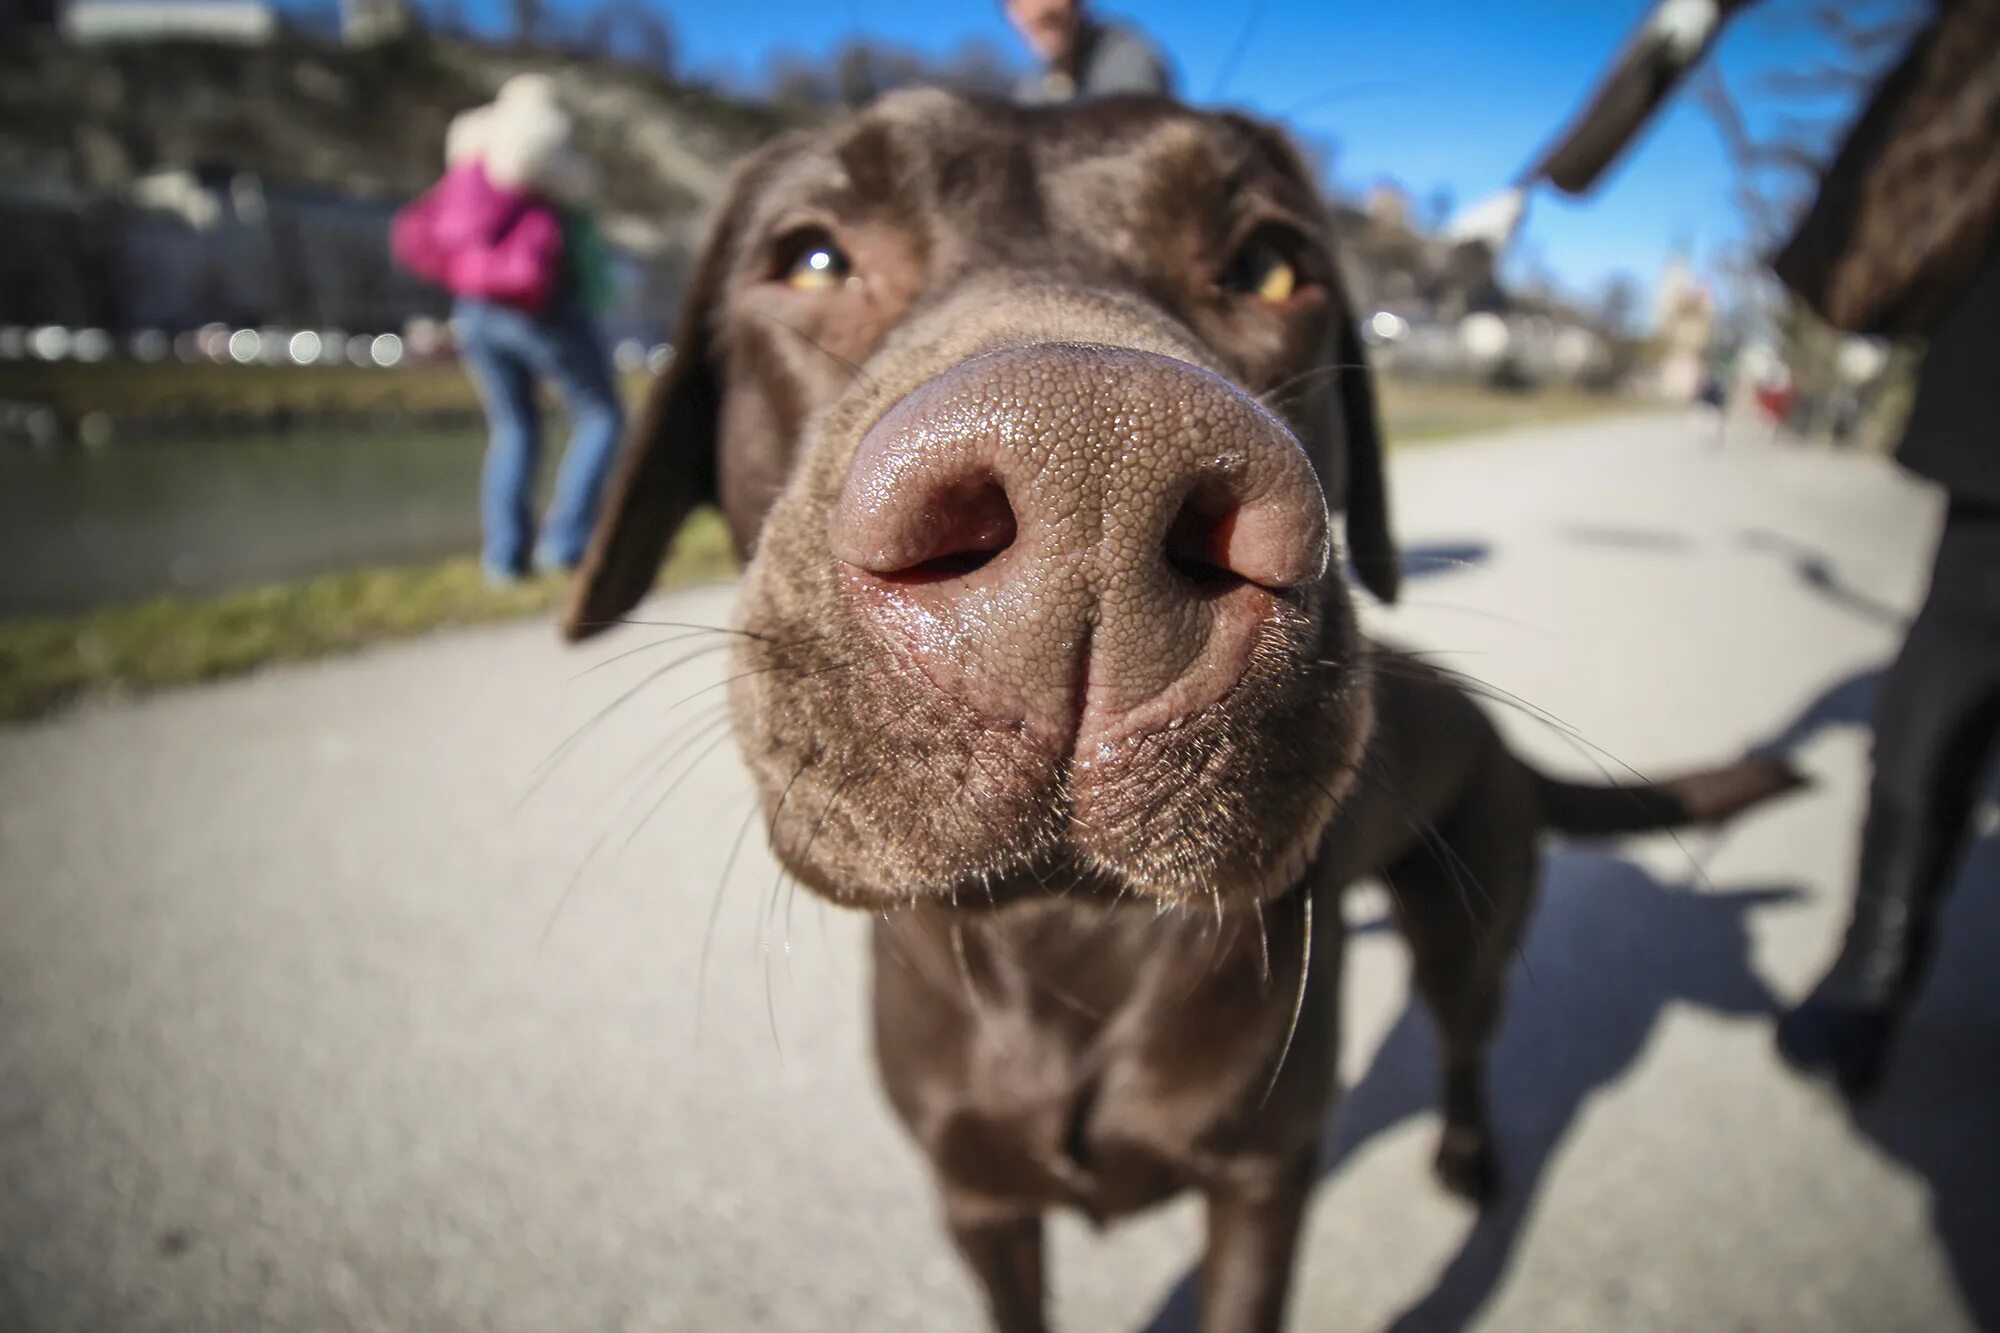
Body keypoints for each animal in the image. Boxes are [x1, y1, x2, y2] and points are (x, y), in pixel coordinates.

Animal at [560, 96, 1800, 1328]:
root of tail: (1499, 736)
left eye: (1268, 267)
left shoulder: (1263, 1181)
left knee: (1463, 1036)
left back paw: (1464, 1152)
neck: (1067, 941)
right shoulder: (977, 1197)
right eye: (812, 257)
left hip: (1467, 920)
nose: (1095, 474)